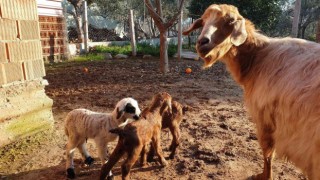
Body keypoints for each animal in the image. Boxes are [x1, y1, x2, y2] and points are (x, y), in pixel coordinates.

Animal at [184, 2, 320, 180]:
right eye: (203, 21)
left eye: (229, 21)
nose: (202, 42)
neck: (258, 56)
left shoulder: (265, 119)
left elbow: (267, 152)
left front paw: (265, 176)